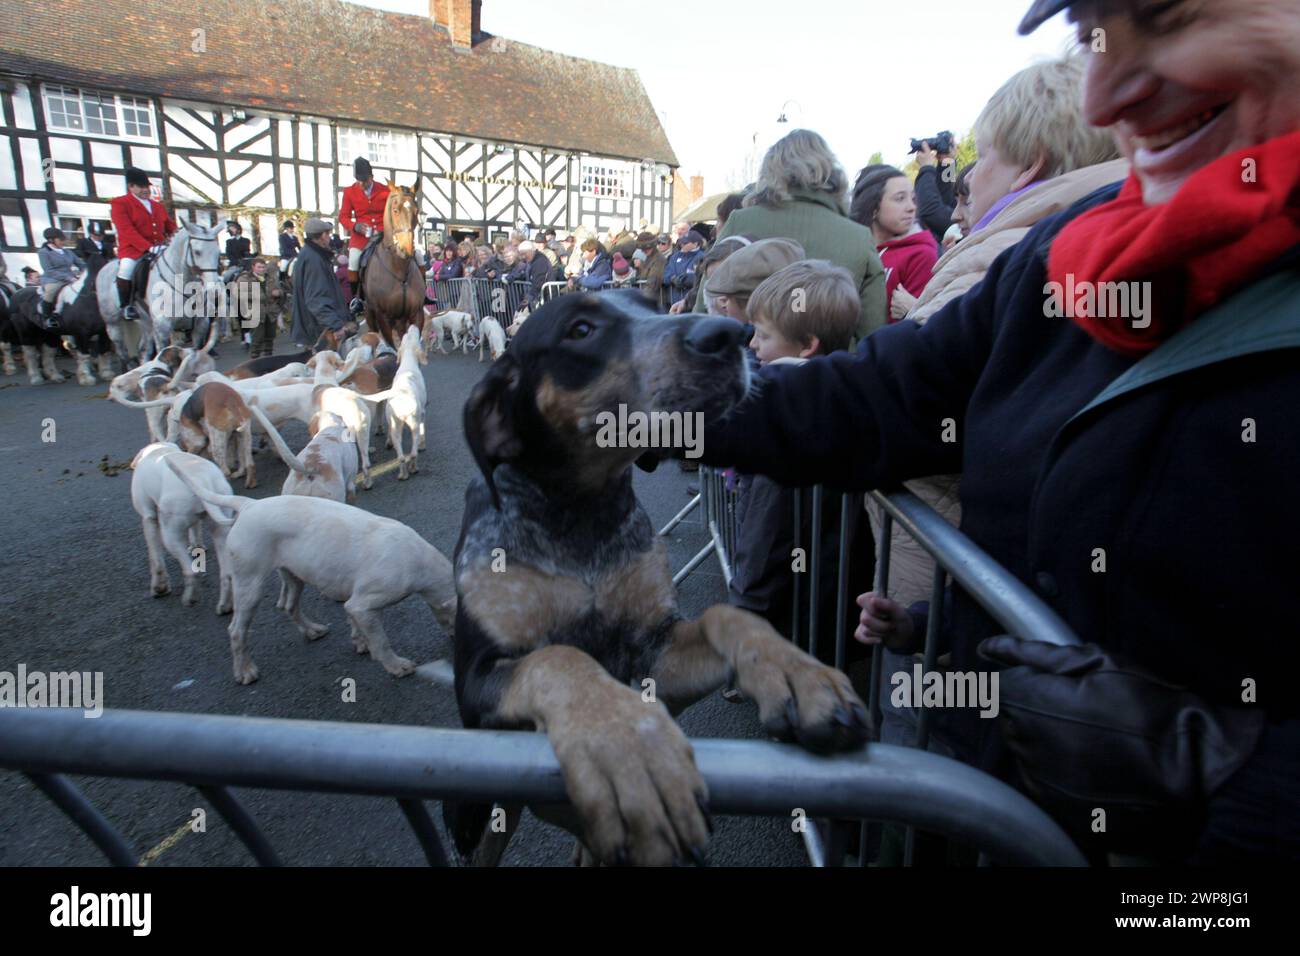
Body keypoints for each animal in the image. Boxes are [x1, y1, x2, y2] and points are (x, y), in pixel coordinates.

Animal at [98, 222, 223, 364]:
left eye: (218, 252)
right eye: (197, 252)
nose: (214, 289)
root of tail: (106, 265)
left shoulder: (200, 324)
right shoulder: (162, 328)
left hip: (146, 322)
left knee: (144, 349)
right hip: (112, 324)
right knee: (122, 352)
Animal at [361, 183, 426, 348]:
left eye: (416, 211)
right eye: (395, 210)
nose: (405, 249)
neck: (399, 268)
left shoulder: (417, 313)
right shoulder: (382, 317)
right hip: (370, 313)